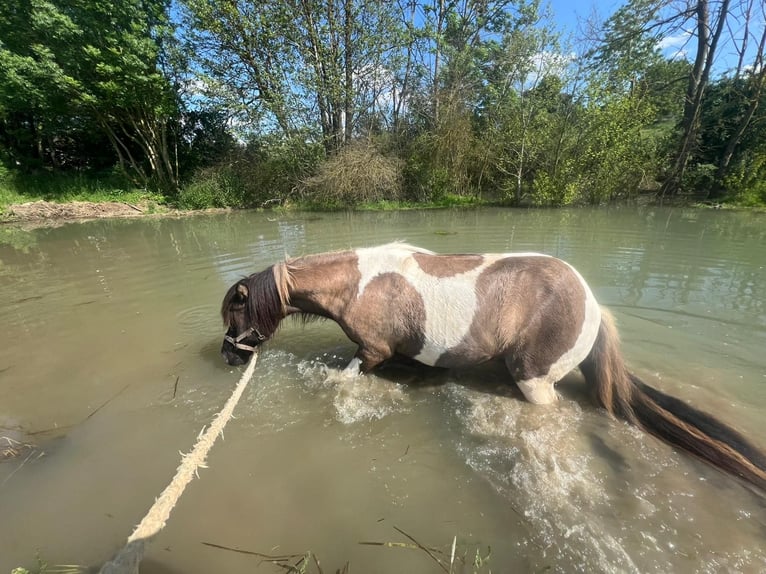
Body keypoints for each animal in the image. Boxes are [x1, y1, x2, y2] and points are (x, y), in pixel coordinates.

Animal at [220, 242, 766, 491]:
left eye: (234, 312)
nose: (228, 355)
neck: (360, 283)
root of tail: (594, 306)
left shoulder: (372, 353)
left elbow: (346, 374)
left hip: (535, 382)